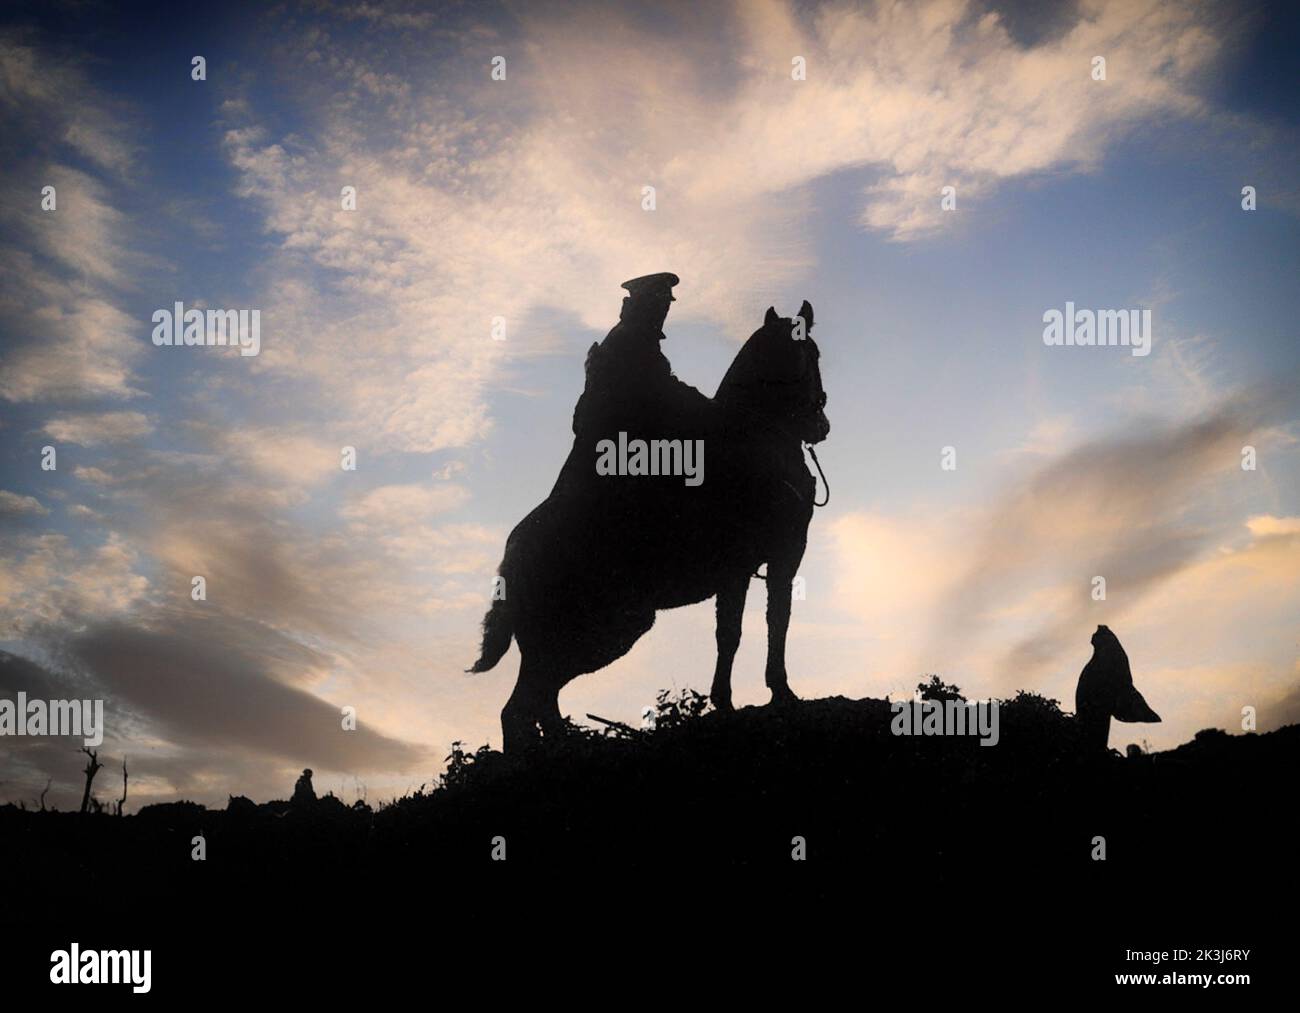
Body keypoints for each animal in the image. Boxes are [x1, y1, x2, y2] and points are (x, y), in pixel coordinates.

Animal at [473, 305, 826, 749]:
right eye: (813, 355)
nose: (821, 425)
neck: (760, 436)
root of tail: (511, 555)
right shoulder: (774, 558)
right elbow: (764, 625)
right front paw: (769, 693)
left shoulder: (750, 568)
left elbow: (740, 631)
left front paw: (736, 699)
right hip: (595, 632)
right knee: (523, 706)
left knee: (535, 701)